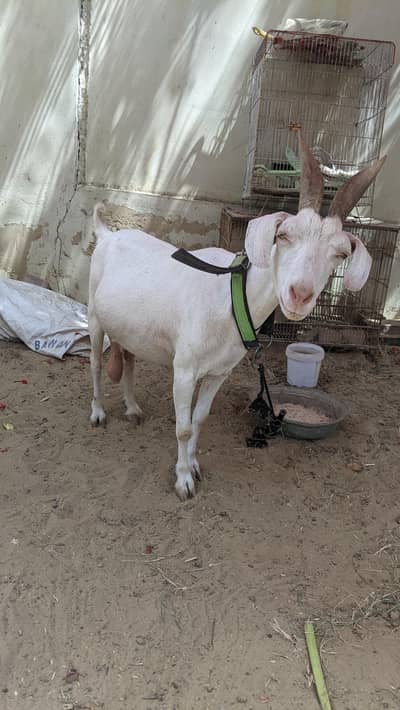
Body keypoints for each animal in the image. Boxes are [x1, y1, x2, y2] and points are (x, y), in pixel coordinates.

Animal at [88, 132, 384, 499]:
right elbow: (183, 428)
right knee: (96, 365)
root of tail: (108, 234)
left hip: (130, 328)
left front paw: (194, 466)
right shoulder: (184, 370)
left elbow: (199, 419)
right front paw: (183, 480)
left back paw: (132, 408)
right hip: (93, 316)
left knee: (128, 361)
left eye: (341, 253)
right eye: (283, 235)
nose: (299, 295)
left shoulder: (219, 372)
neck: (229, 298)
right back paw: (98, 413)